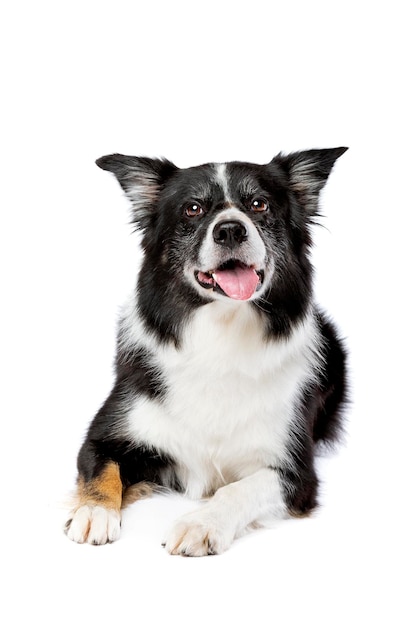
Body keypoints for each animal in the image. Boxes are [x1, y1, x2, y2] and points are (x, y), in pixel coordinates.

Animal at [65, 147, 348, 556]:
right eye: (193, 209)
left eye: (259, 204)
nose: (230, 229)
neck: (221, 331)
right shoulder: (104, 433)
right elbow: (102, 469)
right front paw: (94, 512)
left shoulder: (296, 473)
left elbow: (238, 489)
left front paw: (200, 523)